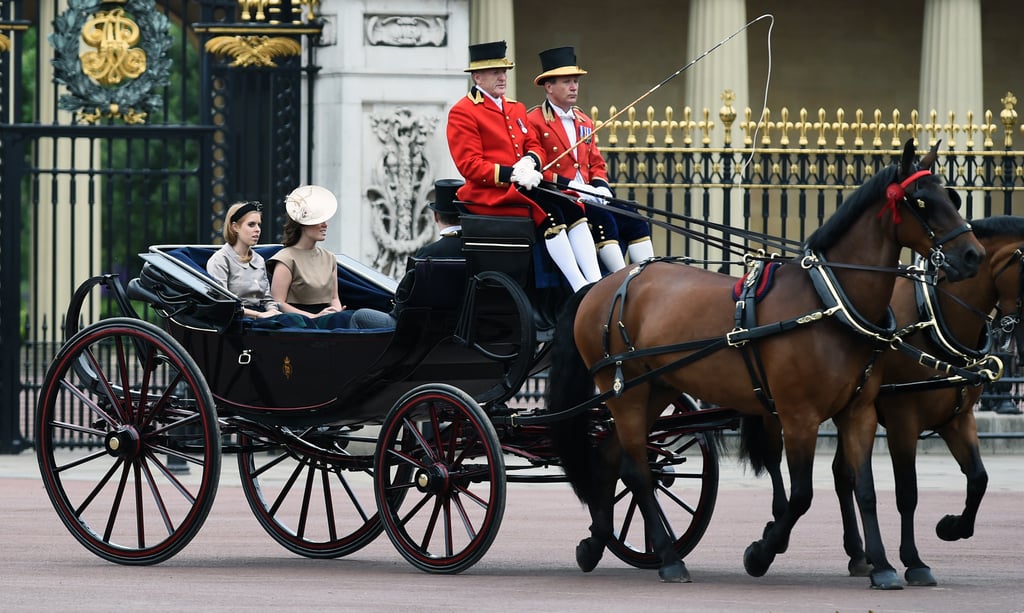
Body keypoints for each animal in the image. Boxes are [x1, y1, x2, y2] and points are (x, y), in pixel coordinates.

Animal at [548, 141, 987, 589]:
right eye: (922, 201)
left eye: (952, 198)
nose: (973, 256)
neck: (829, 302)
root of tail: (601, 285)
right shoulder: (799, 416)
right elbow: (802, 495)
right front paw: (761, 552)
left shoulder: (859, 412)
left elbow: (864, 488)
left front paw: (881, 565)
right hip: (625, 392)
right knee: (636, 470)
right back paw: (669, 558)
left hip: (656, 389)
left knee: (611, 459)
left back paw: (596, 542)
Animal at [827, 214, 1019, 585]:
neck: (934, 317)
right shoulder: (903, 420)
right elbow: (907, 493)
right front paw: (913, 561)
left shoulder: (958, 419)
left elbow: (979, 479)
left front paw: (952, 527)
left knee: (843, 474)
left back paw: (858, 555)